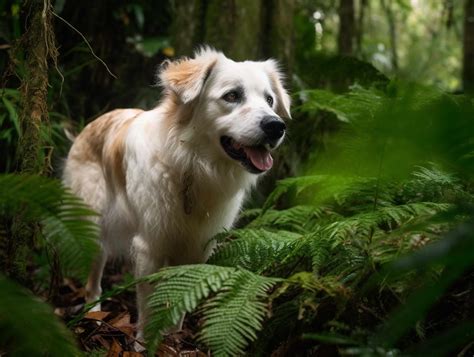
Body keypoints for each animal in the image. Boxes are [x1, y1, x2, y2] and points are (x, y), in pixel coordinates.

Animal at [62, 46, 290, 340]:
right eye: (232, 96)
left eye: (270, 100)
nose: (276, 126)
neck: (190, 165)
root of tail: (90, 125)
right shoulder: (150, 247)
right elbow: (148, 307)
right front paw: (144, 343)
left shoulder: (197, 249)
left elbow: (182, 297)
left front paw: (173, 335)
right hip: (93, 226)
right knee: (93, 282)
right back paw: (93, 315)